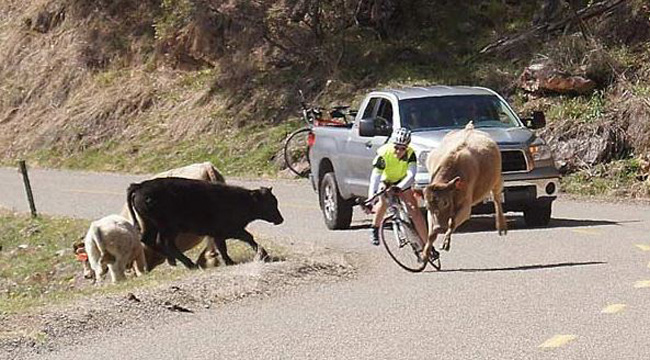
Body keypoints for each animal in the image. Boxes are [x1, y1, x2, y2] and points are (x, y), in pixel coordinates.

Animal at [125, 179, 282, 268]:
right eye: (270, 203)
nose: (280, 219)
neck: (242, 200)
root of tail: (140, 186)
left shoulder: (218, 233)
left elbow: (223, 247)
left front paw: (229, 261)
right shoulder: (232, 230)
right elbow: (248, 238)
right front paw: (264, 255)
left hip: (151, 225)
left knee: (150, 240)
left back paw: (175, 261)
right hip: (168, 228)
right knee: (165, 243)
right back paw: (189, 264)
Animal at [420, 123, 506, 258]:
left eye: (445, 202)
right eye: (427, 206)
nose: (439, 227)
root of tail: (469, 128)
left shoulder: (466, 208)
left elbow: (452, 223)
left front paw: (446, 242)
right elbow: (431, 234)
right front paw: (425, 253)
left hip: (497, 180)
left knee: (497, 198)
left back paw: (501, 226)